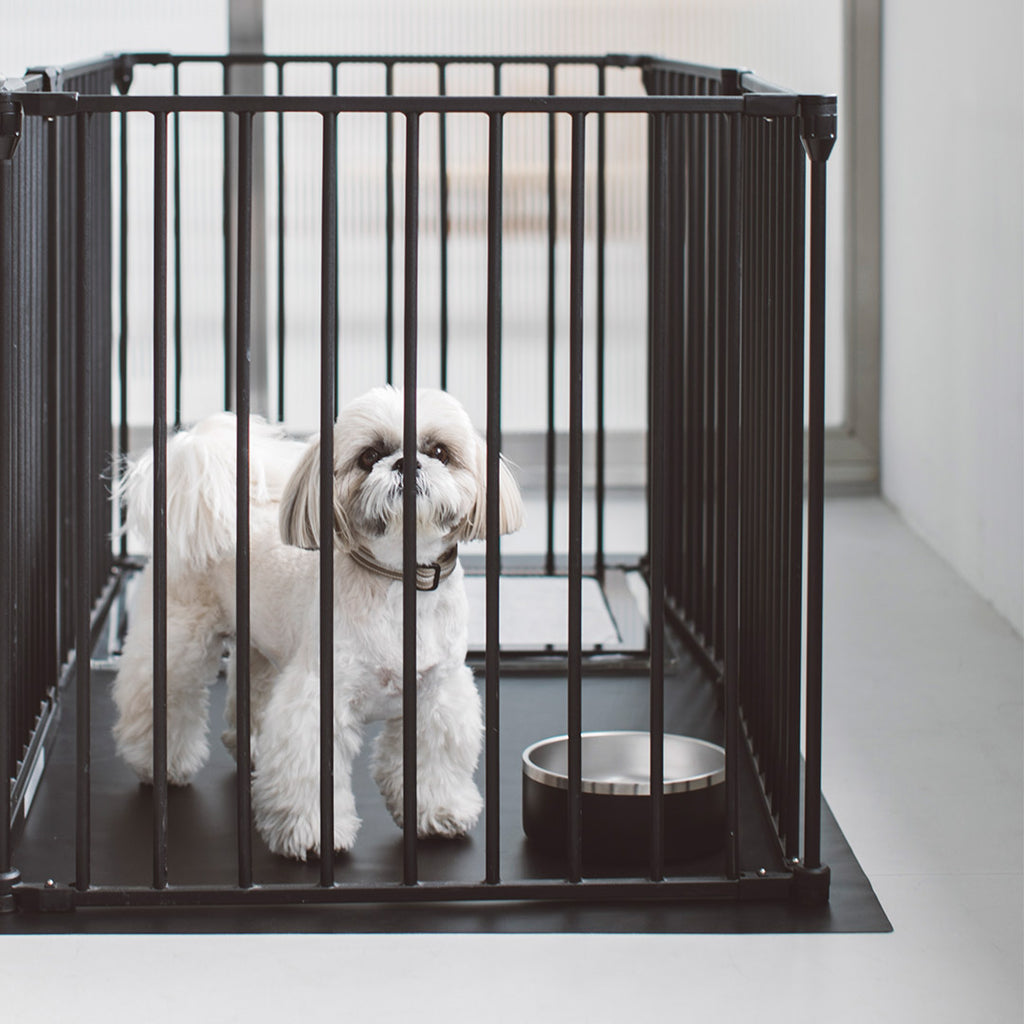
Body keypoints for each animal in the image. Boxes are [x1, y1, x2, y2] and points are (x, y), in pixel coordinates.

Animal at [114, 387, 520, 860]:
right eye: (369, 456)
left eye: (439, 451)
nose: (407, 462)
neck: (396, 581)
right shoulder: (319, 699)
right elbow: (310, 772)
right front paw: (312, 835)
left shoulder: (436, 696)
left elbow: (433, 763)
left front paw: (439, 812)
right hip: (179, 639)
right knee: (160, 695)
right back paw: (161, 764)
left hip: (263, 646)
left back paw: (251, 748)